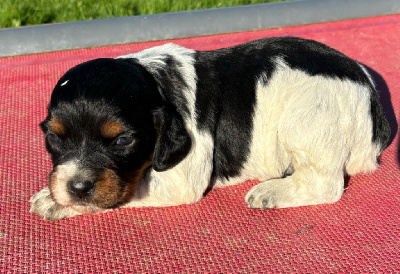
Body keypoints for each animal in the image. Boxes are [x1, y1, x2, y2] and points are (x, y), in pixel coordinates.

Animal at [28, 37, 390, 220]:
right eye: (53, 137)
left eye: (122, 141)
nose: (76, 187)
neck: (156, 82)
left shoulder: (179, 180)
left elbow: (124, 193)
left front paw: (53, 201)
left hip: (307, 117)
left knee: (324, 184)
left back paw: (270, 192)